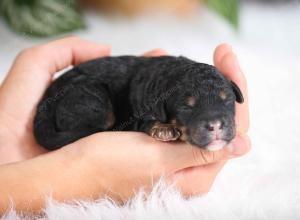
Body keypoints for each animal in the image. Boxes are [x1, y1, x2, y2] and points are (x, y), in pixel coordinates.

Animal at [33, 55, 244, 151]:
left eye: (227, 99)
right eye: (186, 106)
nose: (215, 124)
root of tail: (46, 99)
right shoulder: (138, 115)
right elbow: (146, 122)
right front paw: (163, 129)